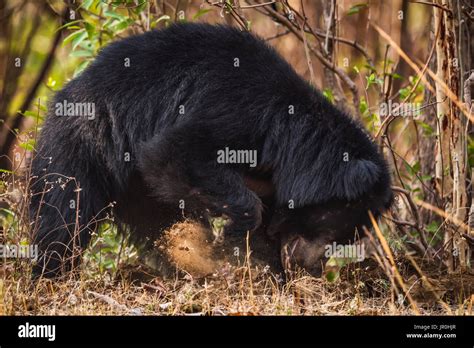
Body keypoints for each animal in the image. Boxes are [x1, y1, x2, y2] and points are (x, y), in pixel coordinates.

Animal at [30, 22, 392, 278]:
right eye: (332, 225)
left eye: (348, 237)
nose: (311, 266)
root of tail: (61, 95)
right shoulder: (237, 114)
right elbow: (174, 153)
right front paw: (232, 244)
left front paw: (263, 269)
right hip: (83, 144)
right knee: (63, 215)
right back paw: (52, 274)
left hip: (134, 186)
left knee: (157, 221)